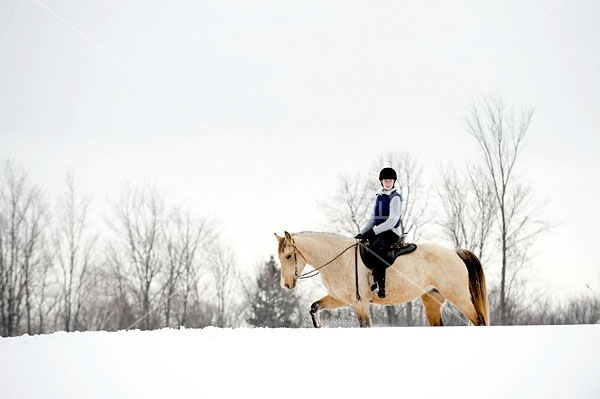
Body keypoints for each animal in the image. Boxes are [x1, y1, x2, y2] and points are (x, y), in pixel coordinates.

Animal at [274, 231, 490, 328]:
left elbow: (365, 326)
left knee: (479, 320)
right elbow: (314, 307)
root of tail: (454, 252)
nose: (285, 285)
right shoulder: (341, 300)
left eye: (288, 256)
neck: (339, 258)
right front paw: (319, 326)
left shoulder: (360, 303)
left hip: (459, 296)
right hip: (432, 300)